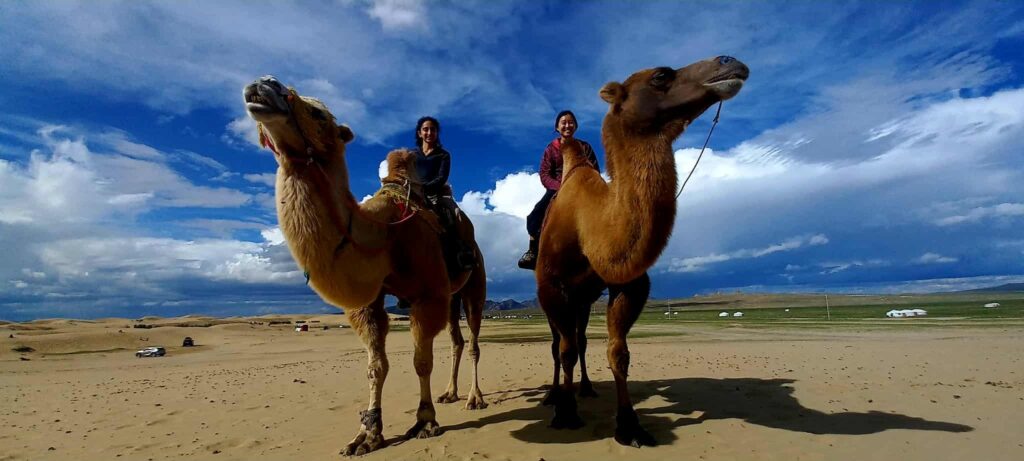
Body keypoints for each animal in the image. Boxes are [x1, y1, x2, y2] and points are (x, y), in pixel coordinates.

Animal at [243, 76, 487, 456]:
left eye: (319, 113)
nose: (262, 85)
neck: (385, 234)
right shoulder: (369, 303)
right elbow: (375, 366)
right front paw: (367, 434)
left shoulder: (427, 294)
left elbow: (420, 360)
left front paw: (425, 421)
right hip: (452, 295)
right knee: (457, 340)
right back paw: (450, 393)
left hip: (475, 284)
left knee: (473, 339)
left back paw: (474, 398)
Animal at [535, 56, 749, 447]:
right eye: (661, 75)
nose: (730, 62)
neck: (589, 223)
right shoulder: (551, 287)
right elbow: (564, 349)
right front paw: (565, 412)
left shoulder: (630, 284)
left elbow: (618, 352)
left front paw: (629, 425)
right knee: (561, 344)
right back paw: (555, 395)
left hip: (584, 299)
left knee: (582, 339)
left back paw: (586, 389)